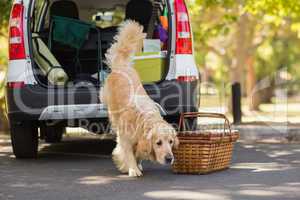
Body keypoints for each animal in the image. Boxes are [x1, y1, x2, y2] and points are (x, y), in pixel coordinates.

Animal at [102, 20, 178, 177]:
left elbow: (138, 153)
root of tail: (123, 65)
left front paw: (138, 164)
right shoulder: (124, 139)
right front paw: (133, 169)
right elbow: (128, 154)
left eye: (171, 142)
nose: (169, 158)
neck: (144, 121)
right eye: (158, 143)